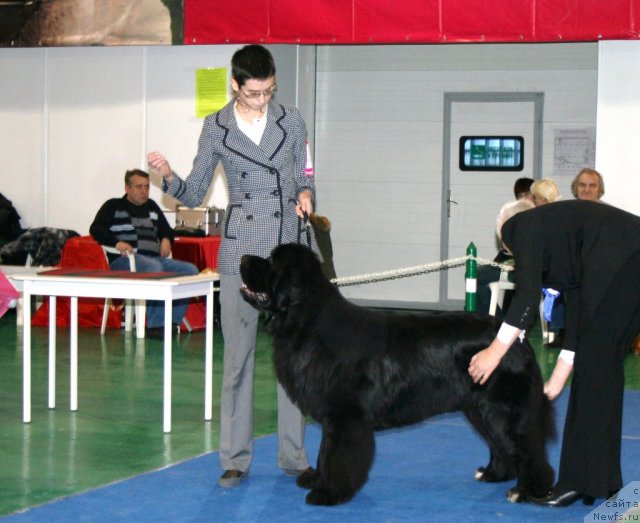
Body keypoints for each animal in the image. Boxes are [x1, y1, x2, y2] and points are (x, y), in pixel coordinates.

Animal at [240, 245, 556, 508]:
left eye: (272, 261)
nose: (242, 258)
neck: (307, 321)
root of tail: (517, 339)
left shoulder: (345, 417)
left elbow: (336, 455)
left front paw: (329, 493)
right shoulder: (334, 417)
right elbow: (323, 451)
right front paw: (317, 479)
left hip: (503, 409)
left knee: (527, 447)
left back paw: (529, 491)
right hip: (477, 408)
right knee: (499, 444)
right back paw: (494, 474)